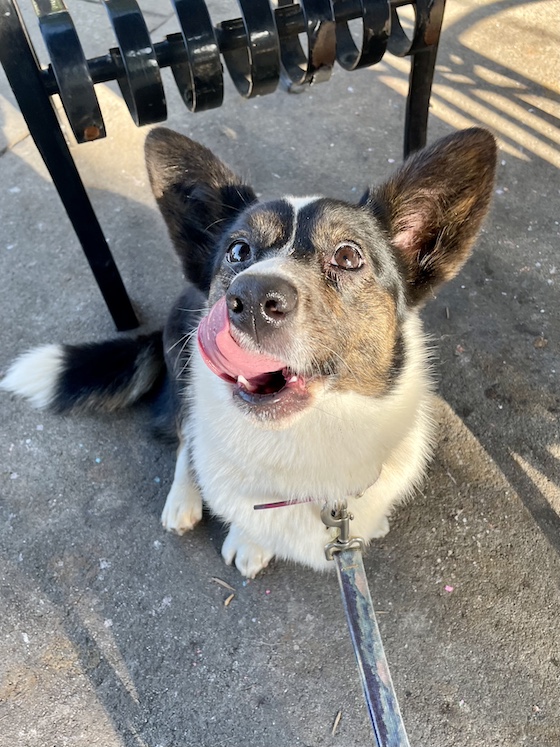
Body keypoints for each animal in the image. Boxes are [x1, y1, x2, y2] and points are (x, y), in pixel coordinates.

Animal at [1, 127, 498, 580]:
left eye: (348, 256)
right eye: (238, 250)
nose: (253, 300)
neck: (304, 443)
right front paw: (248, 541)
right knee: (184, 434)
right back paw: (183, 498)